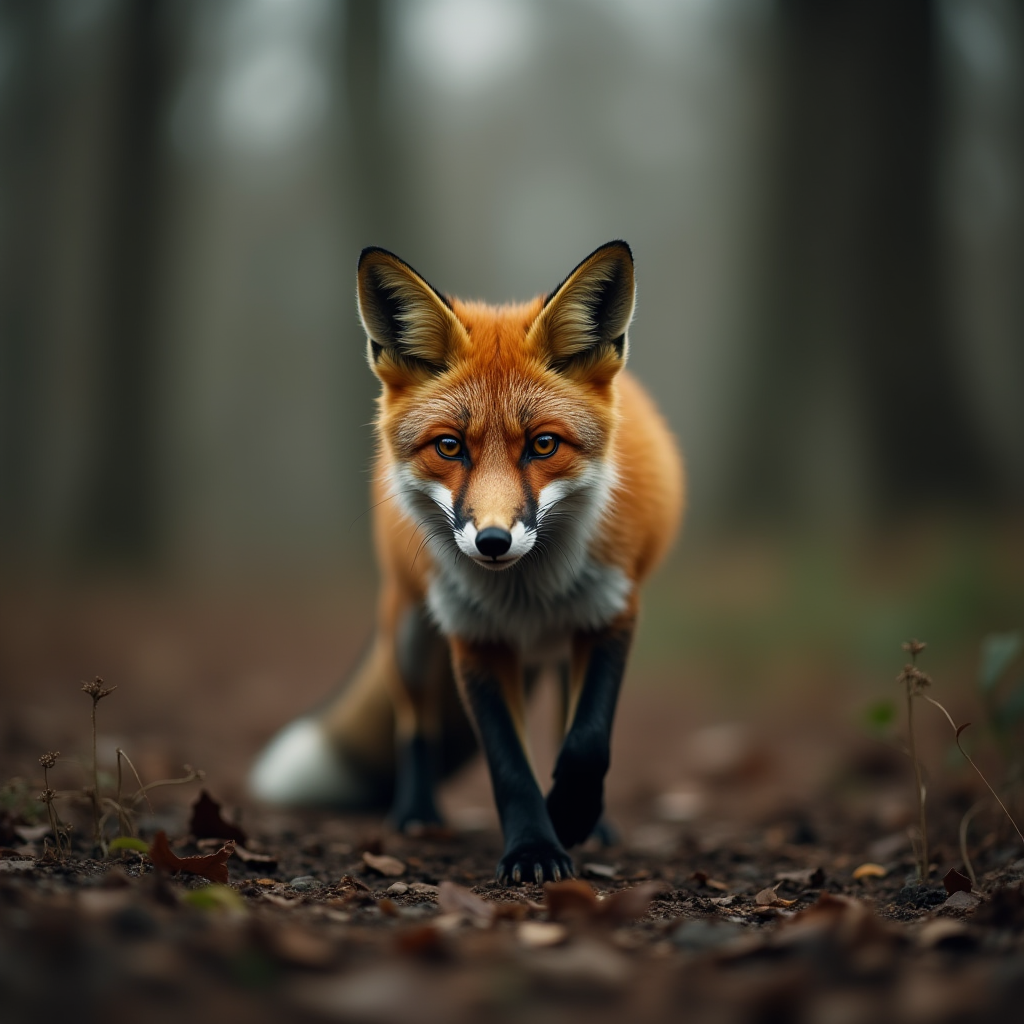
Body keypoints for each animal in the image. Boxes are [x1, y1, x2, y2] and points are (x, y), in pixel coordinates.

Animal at [248, 241, 684, 888]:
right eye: (450, 447)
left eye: (544, 444)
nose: (494, 542)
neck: (528, 595)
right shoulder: (475, 637)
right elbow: (508, 765)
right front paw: (534, 848)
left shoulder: (612, 611)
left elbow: (586, 741)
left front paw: (570, 815)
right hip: (408, 632)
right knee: (414, 728)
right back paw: (416, 813)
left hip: (560, 643)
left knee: (564, 721)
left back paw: (594, 823)